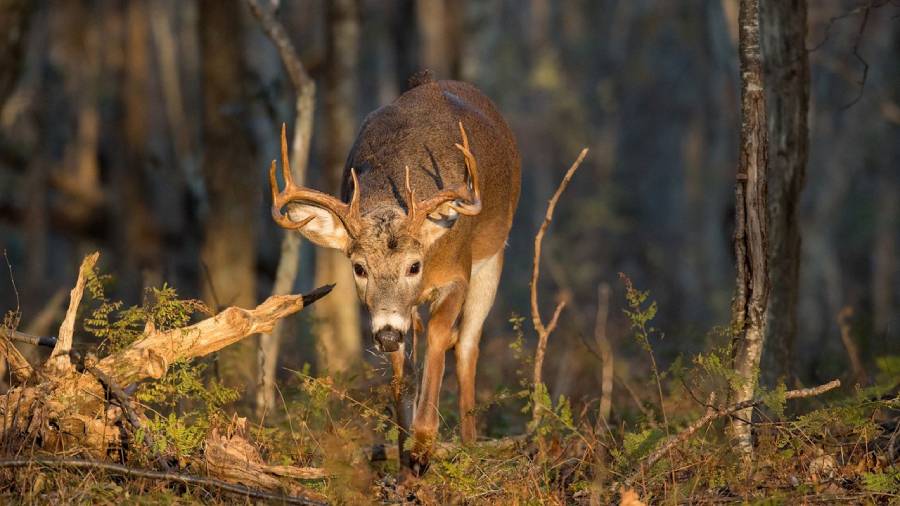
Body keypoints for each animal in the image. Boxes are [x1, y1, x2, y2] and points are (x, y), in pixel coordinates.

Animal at [268, 76, 520, 473]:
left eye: (414, 265)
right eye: (359, 268)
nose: (386, 334)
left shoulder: (458, 273)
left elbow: (439, 336)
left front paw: (423, 444)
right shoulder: (394, 313)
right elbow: (403, 364)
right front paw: (404, 454)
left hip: (493, 258)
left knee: (467, 343)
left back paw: (469, 446)